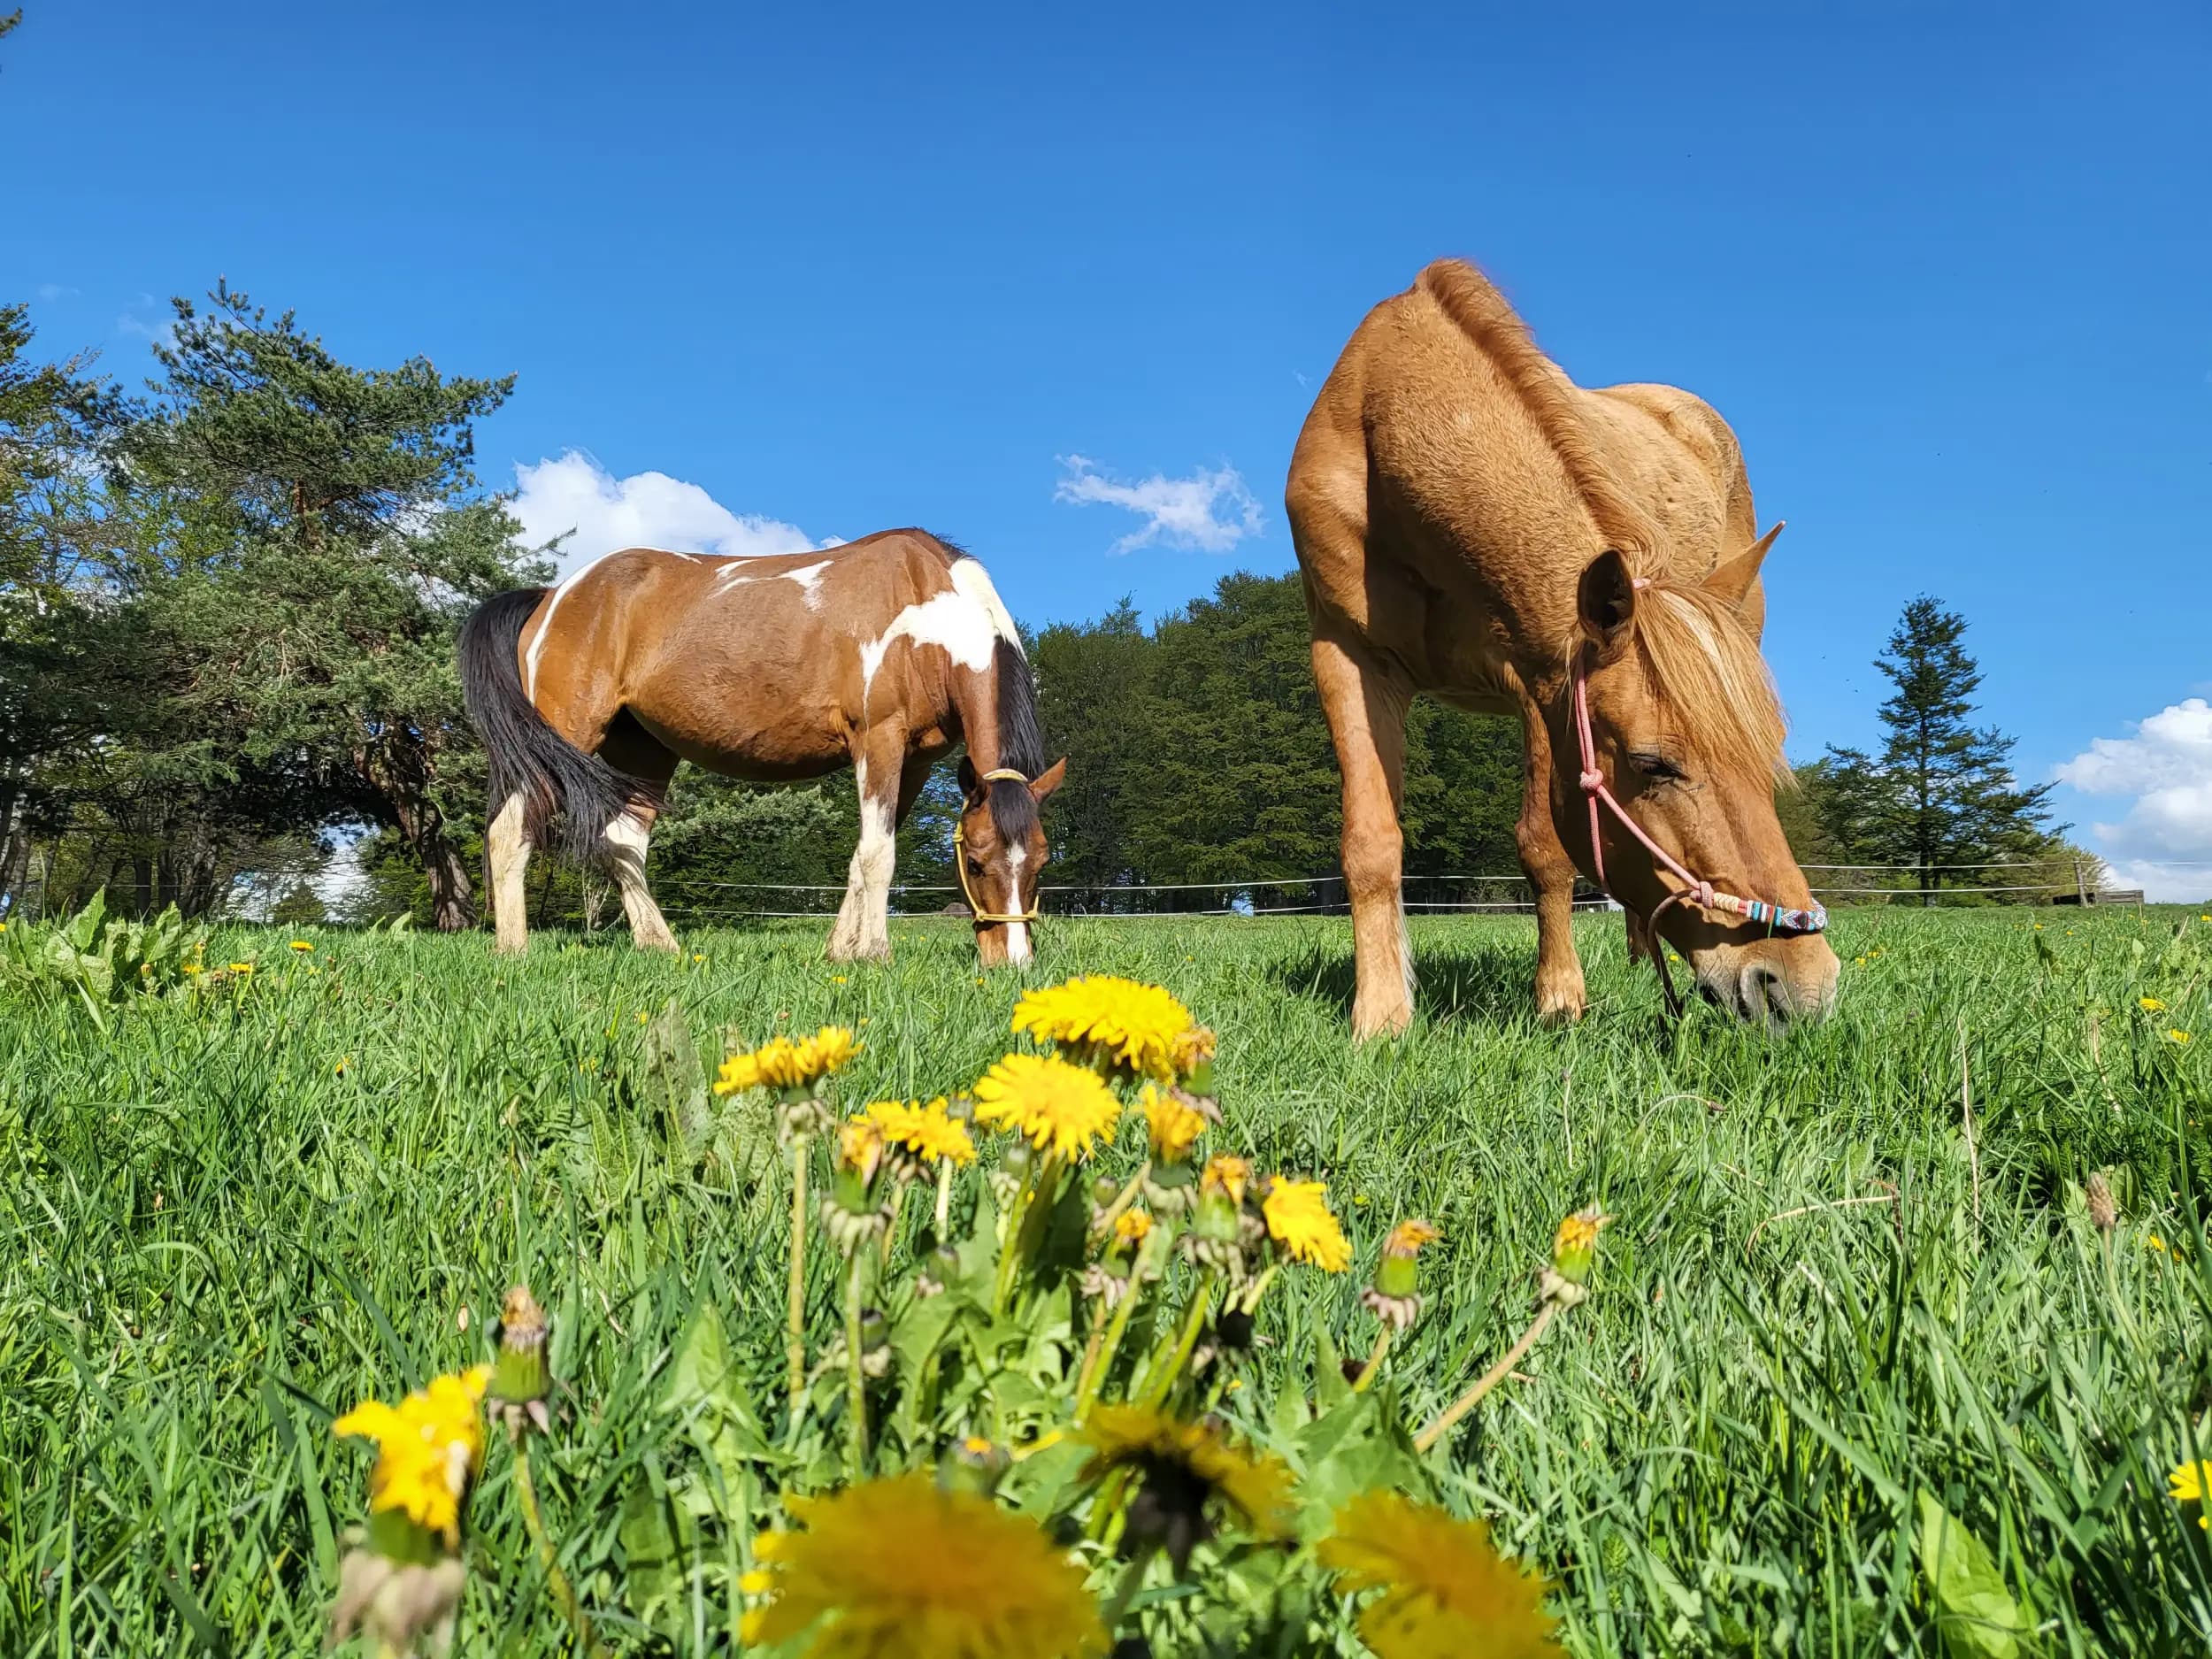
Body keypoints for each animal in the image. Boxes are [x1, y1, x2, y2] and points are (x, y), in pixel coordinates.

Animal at [457, 529, 1065, 967]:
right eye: (976, 861)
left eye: (1041, 861)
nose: (1012, 963)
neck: (927, 610)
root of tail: (552, 597)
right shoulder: (879, 742)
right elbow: (879, 856)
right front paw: (874, 954)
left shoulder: (913, 761)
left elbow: (863, 854)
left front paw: (840, 951)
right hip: (563, 736)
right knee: (509, 833)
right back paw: (513, 950)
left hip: (645, 753)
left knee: (623, 844)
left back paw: (661, 946)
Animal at [1286, 258, 1840, 1037]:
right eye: (1653, 763)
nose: (1803, 983)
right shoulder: (1348, 658)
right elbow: (1370, 840)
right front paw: (1383, 1015)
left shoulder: (1535, 677)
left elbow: (1544, 847)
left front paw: (1558, 997)